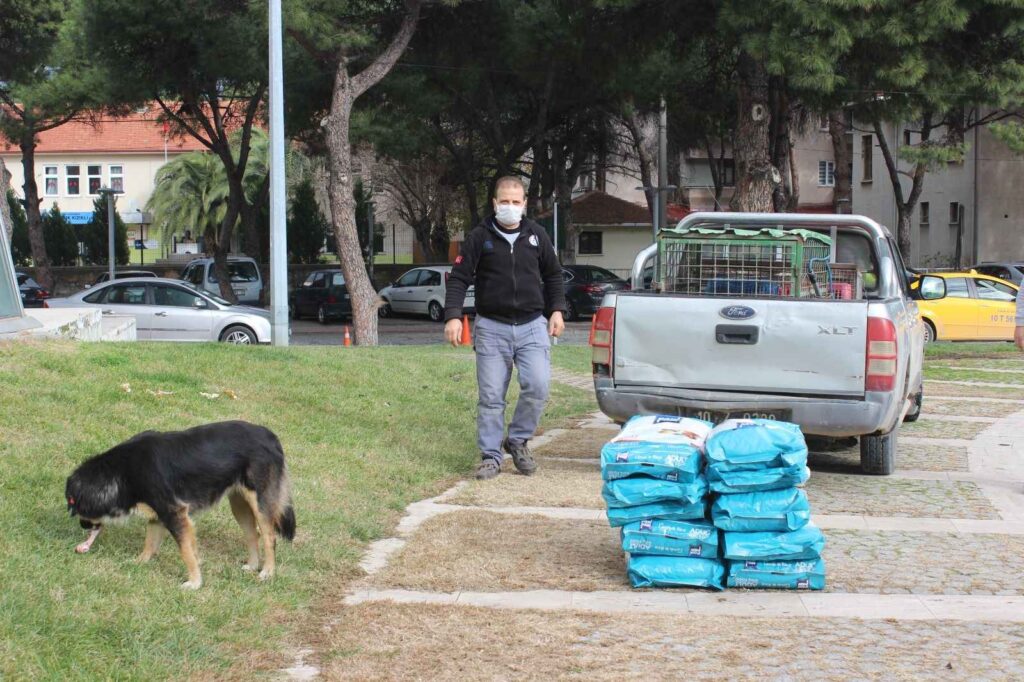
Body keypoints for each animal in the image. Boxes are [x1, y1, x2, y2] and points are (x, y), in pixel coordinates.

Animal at [65, 420, 296, 589]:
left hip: (260, 503)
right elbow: (151, 544)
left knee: (269, 537)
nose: (83, 527)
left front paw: (194, 583)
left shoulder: (175, 513)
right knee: (252, 534)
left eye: (75, 506)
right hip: (239, 504)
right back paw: (253, 565)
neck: (122, 471)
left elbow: (185, 551)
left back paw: (267, 572)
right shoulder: (158, 515)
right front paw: (139, 563)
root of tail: (272, 437)